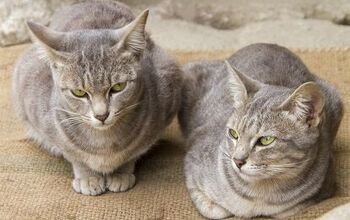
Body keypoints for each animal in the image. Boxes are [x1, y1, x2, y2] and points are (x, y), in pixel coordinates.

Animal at [12, 0, 182, 195]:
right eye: (79, 92)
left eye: (118, 87)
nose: (102, 115)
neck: (103, 143)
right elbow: (74, 155)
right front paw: (88, 177)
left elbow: (134, 152)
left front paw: (121, 173)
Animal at [179, 43, 344, 218]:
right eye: (233, 133)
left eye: (266, 140)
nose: (237, 161)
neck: (258, 196)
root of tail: (270, 44)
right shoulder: (192, 162)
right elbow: (216, 210)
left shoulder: (327, 180)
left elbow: (290, 210)